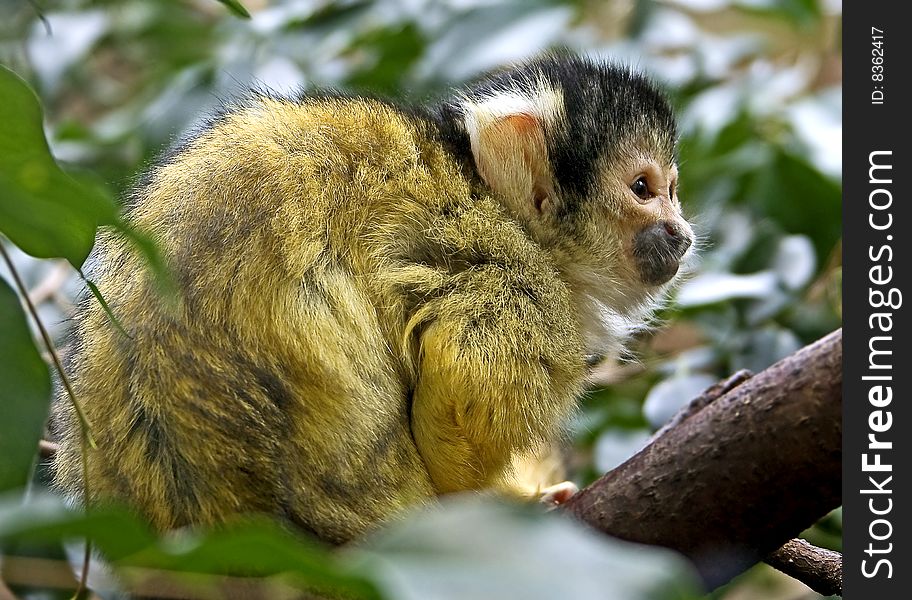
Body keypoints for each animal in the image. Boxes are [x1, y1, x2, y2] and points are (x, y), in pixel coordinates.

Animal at [51, 55, 692, 544]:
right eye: (644, 189)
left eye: (672, 191)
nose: (681, 232)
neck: (493, 198)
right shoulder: (508, 277)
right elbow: (459, 396)